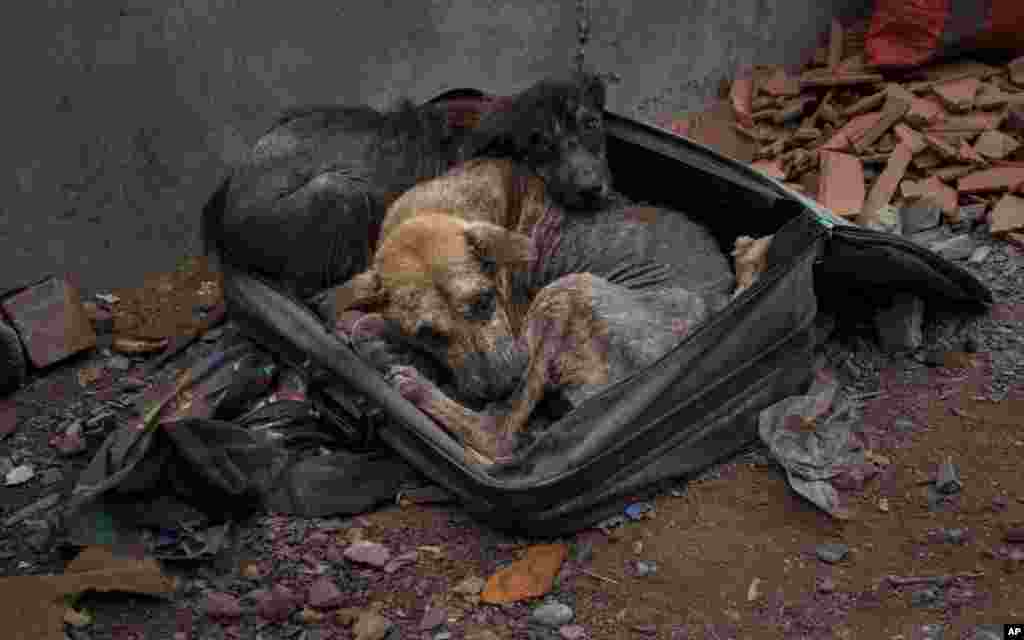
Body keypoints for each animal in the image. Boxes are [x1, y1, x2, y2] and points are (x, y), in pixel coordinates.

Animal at [321, 156, 745, 460]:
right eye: (429, 334)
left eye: (485, 300)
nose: (501, 385)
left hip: (563, 292)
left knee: (499, 434)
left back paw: (420, 387)